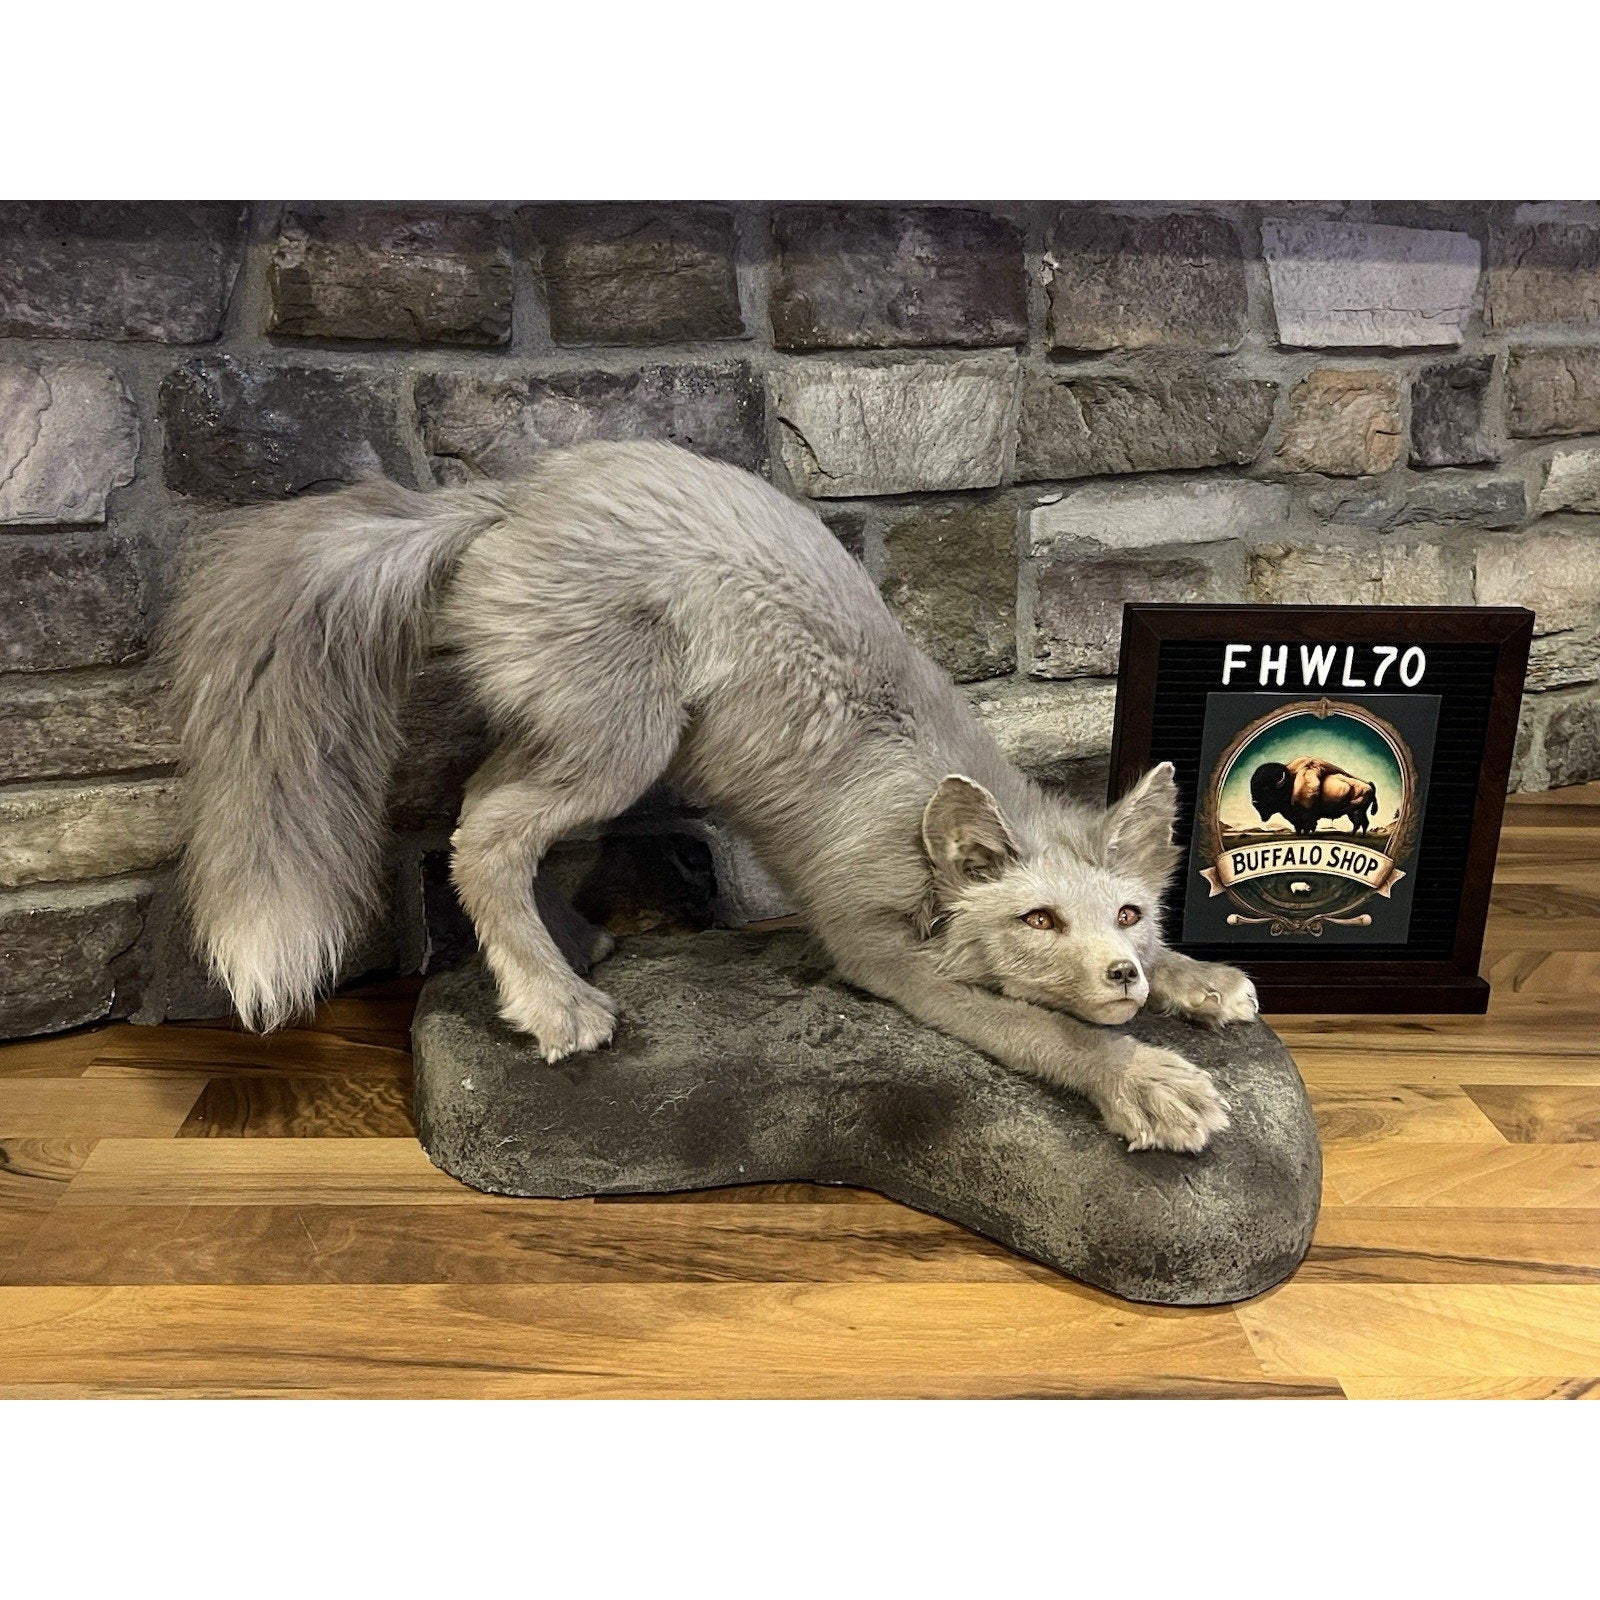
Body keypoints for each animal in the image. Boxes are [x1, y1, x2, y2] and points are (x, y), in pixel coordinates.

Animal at [166, 440, 1258, 1153]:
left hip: (578, 740)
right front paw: (1145, 1080)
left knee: (485, 806)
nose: (1122, 974)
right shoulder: (872, 952)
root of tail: (508, 498)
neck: (912, 815)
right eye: (1038, 920)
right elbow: (1045, 1032)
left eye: (1128, 915)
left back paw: (565, 947)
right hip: (624, 746)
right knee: (482, 835)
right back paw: (552, 1003)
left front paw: (1198, 980)